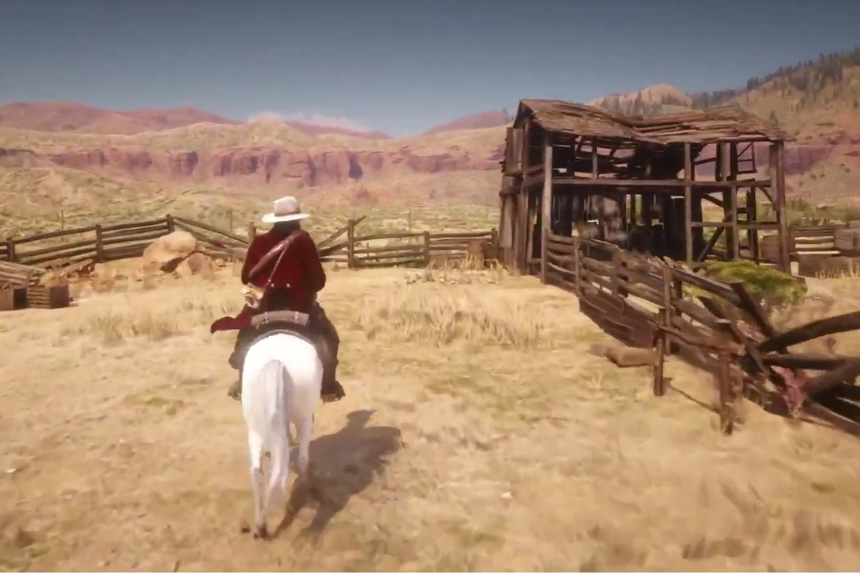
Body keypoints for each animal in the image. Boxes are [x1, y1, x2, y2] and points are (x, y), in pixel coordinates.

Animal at [241, 331, 323, 539]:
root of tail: (276, 360)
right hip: (303, 419)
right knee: (302, 459)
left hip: (254, 428)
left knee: (257, 471)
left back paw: (260, 525)